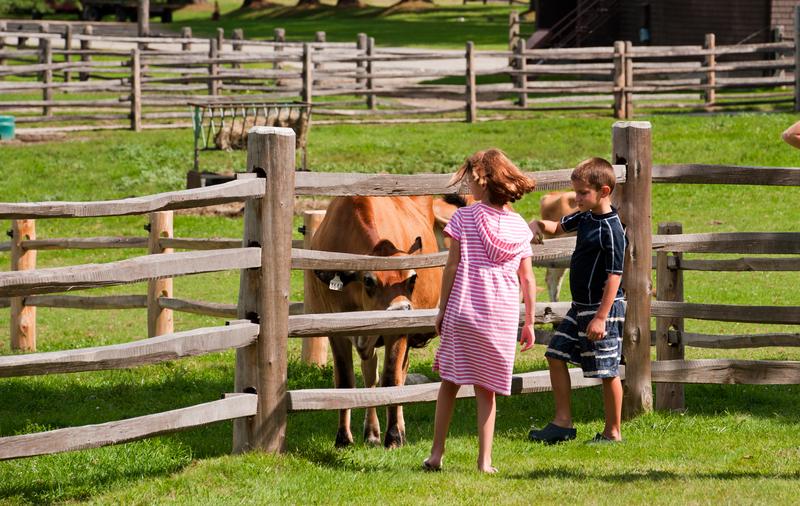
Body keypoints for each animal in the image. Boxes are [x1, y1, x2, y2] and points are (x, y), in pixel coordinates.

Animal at [305, 196, 443, 449]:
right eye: (369, 281)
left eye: (413, 279)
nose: (402, 309)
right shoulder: (335, 330)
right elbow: (345, 381)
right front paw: (343, 437)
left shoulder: (395, 332)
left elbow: (391, 378)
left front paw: (394, 436)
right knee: (370, 374)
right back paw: (371, 432)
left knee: (399, 373)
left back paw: (398, 429)